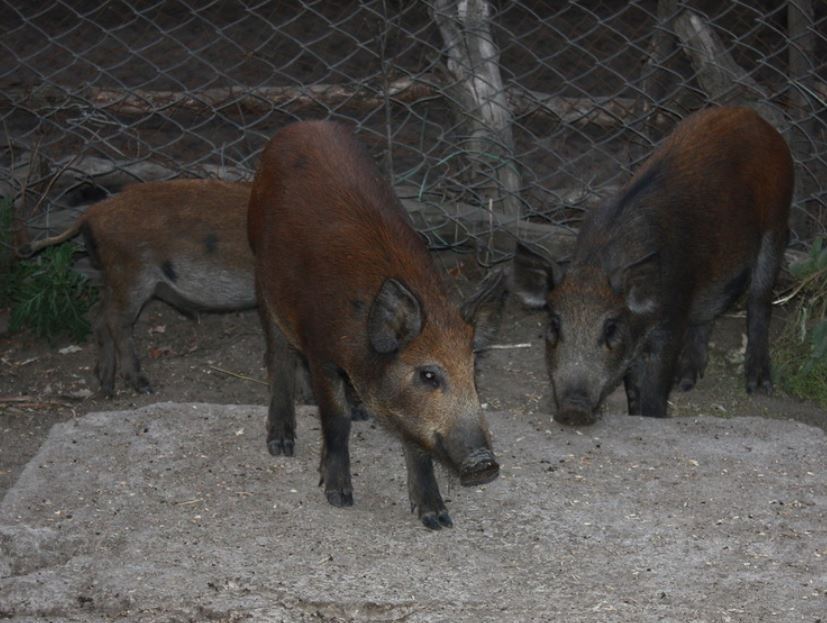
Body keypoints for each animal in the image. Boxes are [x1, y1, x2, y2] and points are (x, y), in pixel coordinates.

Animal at [18, 179, 258, 397]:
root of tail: (92, 213)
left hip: (115, 278)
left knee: (99, 318)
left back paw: (107, 387)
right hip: (131, 273)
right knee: (116, 321)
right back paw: (144, 387)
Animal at [247, 120, 503, 529]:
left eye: (473, 370)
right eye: (428, 375)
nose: (485, 464)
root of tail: (305, 125)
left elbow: (416, 442)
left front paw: (437, 520)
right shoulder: (321, 351)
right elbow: (335, 420)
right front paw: (338, 498)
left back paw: (357, 411)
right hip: (261, 273)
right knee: (279, 355)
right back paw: (281, 444)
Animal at [513, 106, 793, 425]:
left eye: (611, 327)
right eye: (554, 325)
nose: (573, 409)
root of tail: (753, 116)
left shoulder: (670, 323)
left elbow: (654, 389)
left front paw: (653, 416)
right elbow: (633, 388)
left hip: (777, 224)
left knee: (759, 300)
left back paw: (758, 386)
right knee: (708, 312)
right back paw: (686, 382)